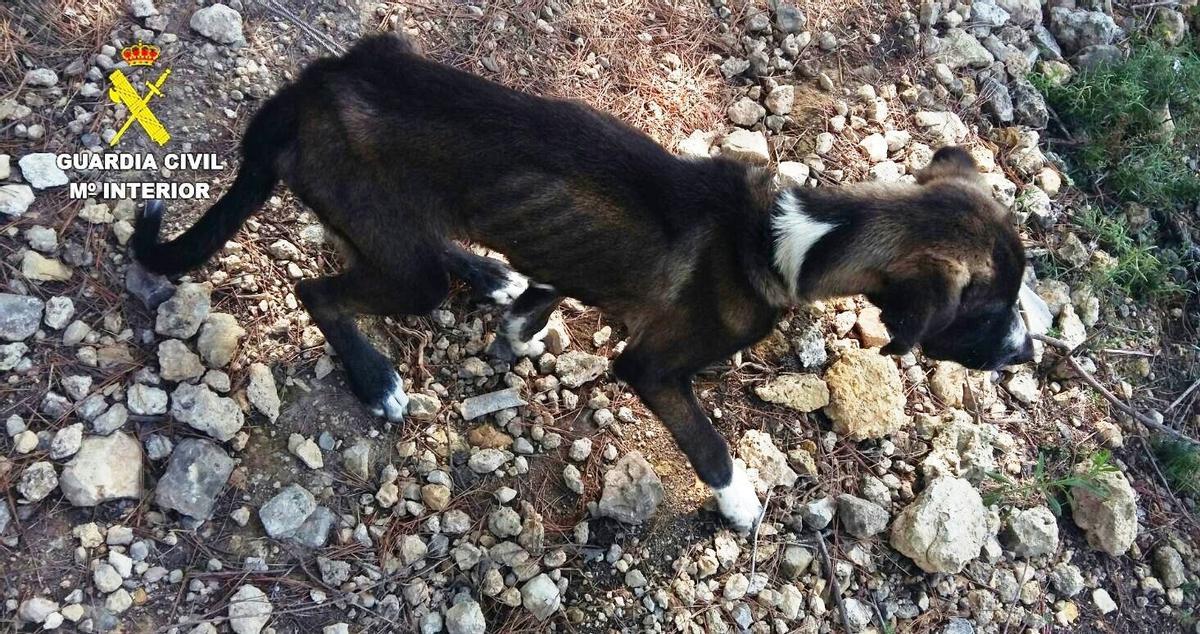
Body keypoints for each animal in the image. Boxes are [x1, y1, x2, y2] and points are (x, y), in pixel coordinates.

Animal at [129, 34, 1032, 530]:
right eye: (988, 312)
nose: (1027, 352)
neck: (793, 239)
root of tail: (306, 90)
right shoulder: (654, 368)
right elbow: (709, 446)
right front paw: (741, 505)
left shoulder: (582, 271)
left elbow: (549, 288)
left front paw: (518, 321)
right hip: (402, 267)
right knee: (322, 293)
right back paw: (377, 376)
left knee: (415, 247)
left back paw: (487, 272)